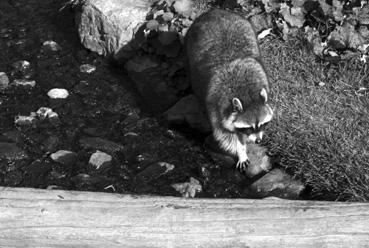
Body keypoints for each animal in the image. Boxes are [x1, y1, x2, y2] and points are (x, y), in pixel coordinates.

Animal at [185, 7, 272, 170]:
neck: (247, 95)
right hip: (189, 39)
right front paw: (241, 150)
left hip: (246, 25)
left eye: (263, 124)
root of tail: (214, 11)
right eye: (249, 128)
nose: (258, 141)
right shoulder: (216, 106)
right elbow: (225, 135)